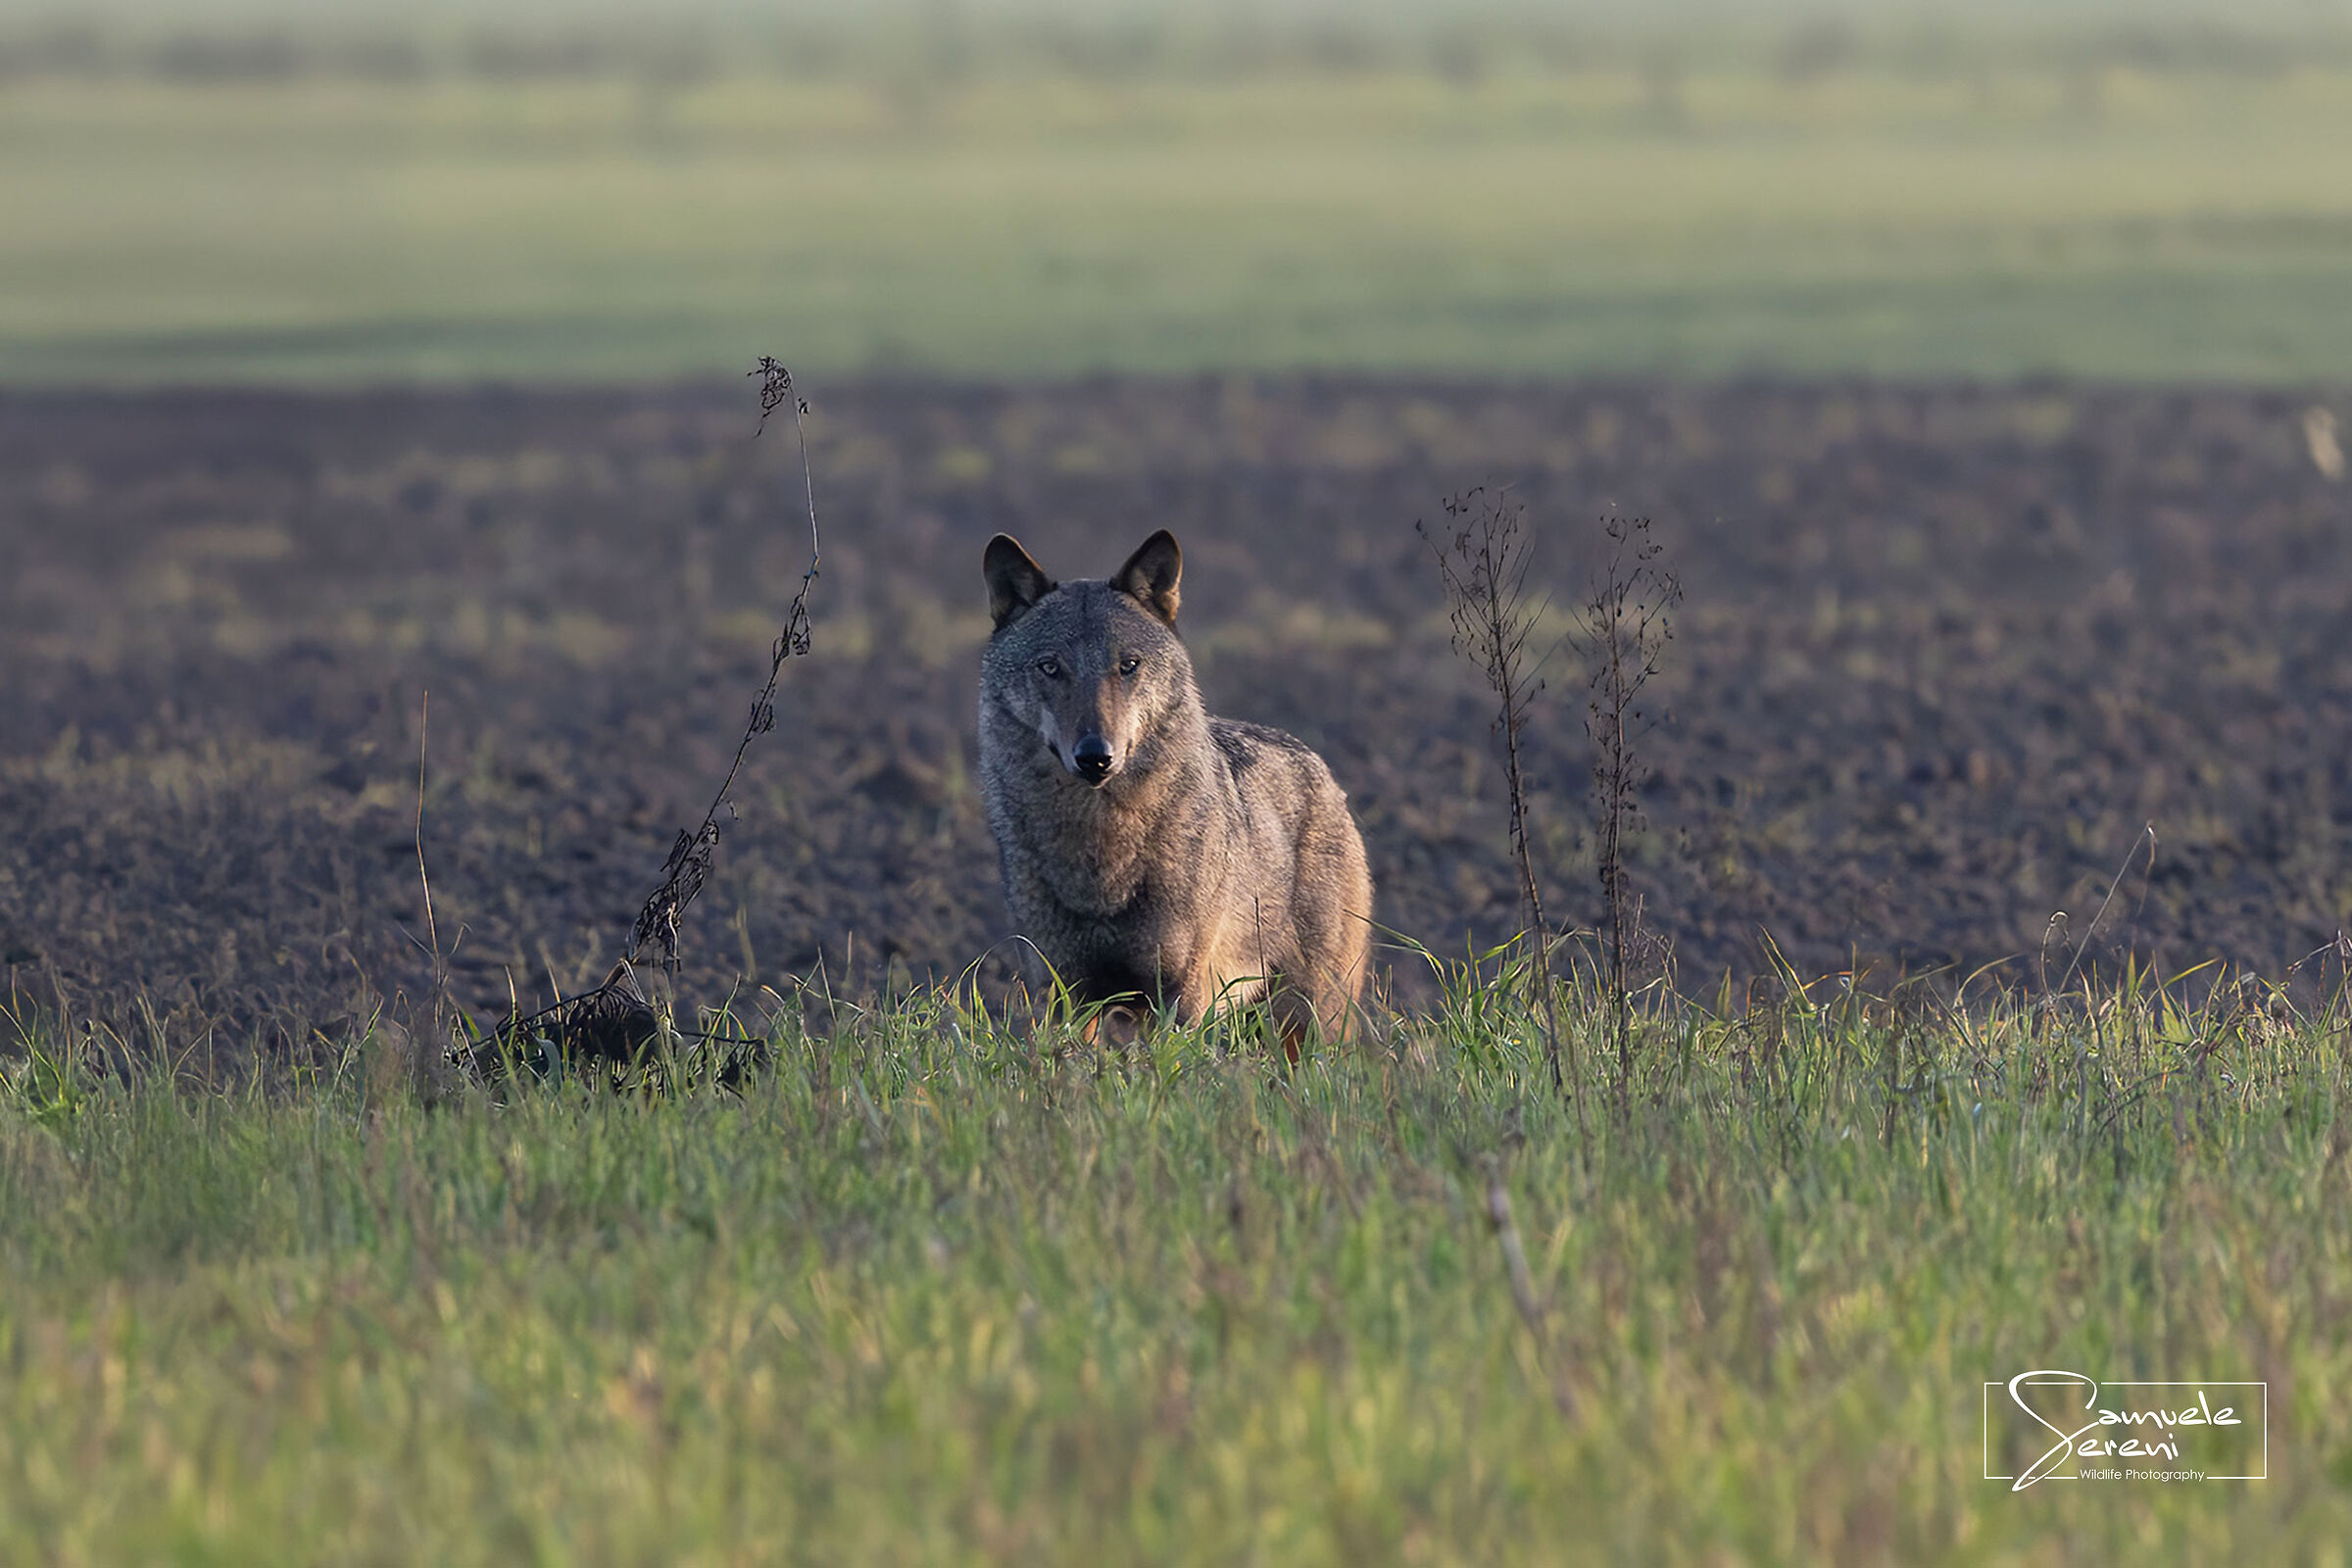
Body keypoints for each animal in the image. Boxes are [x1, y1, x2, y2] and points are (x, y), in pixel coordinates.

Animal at [978, 529, 1373, 1052]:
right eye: (1049, 667)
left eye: (1128, 665)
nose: (1095, 756)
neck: (1101, 856)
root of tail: (1319, 766)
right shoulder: (1060, 994)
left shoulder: (1180, 993)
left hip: (1311, 1021)